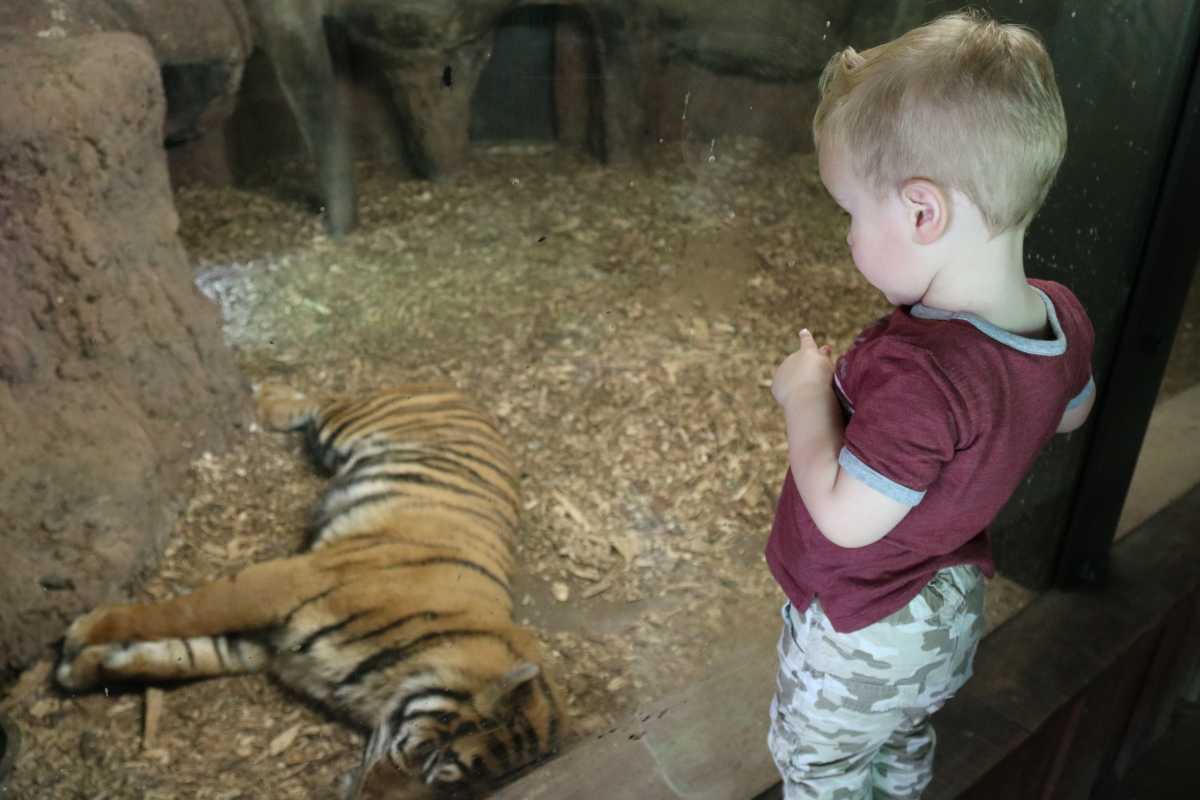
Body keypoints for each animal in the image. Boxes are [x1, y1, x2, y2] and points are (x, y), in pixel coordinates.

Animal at [56, 383, 564, 796]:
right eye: (426, 756)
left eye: (451, 791)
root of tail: (457, 390)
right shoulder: (283, 584)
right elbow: (177, 614)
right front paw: (85, 631)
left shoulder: (269, 647)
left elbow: (184, 656)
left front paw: (88, 667)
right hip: (344, 427)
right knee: (321, 399)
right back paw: (265, 402)